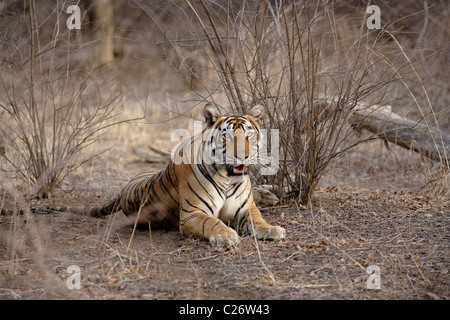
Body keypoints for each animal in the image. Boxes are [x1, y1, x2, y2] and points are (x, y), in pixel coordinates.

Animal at [66, 103, 284, 248]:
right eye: (226, 137)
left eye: (249, 135)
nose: (243, 156)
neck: (227, 179)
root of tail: (122, 191)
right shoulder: (192, 214)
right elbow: (211, 222)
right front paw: (225, 235)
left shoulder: (246, 207)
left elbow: (258, 219)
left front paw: (272, 229)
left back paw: (270, 194)